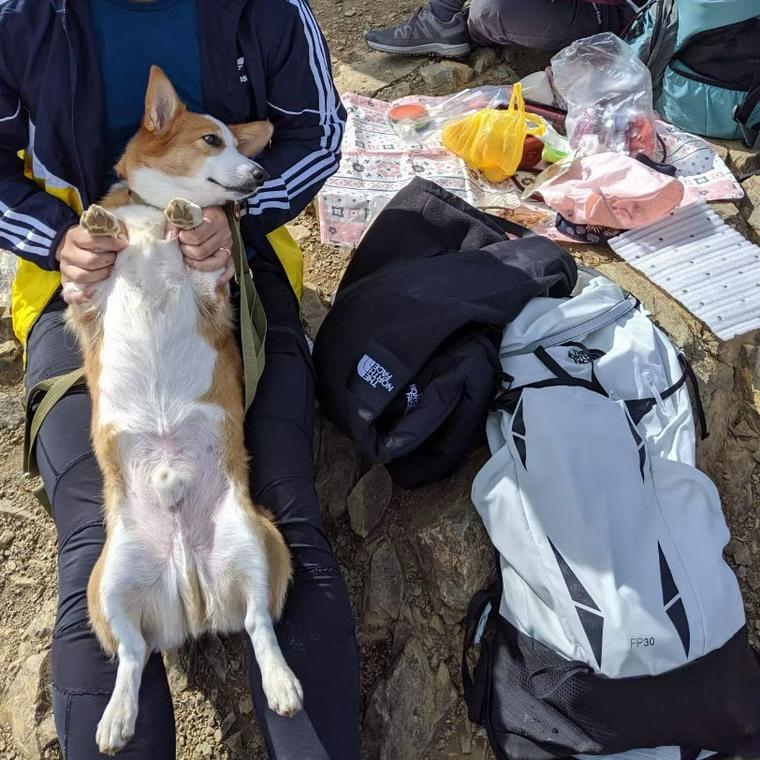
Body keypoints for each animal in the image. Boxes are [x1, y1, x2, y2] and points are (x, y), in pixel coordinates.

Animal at [64, 65, 302, 756]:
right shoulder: (86, 303)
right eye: (209, 140)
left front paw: (189, 214)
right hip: (109, 586)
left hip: (257, 545)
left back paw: (282, 684)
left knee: (259, 624)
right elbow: (97, 251)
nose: (259, 174)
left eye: (237, 143)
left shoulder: (211, 291)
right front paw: (101, 225)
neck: (147, 219)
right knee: (132, 655)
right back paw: (117, 718)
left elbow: (199, 247)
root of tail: (189, 585)